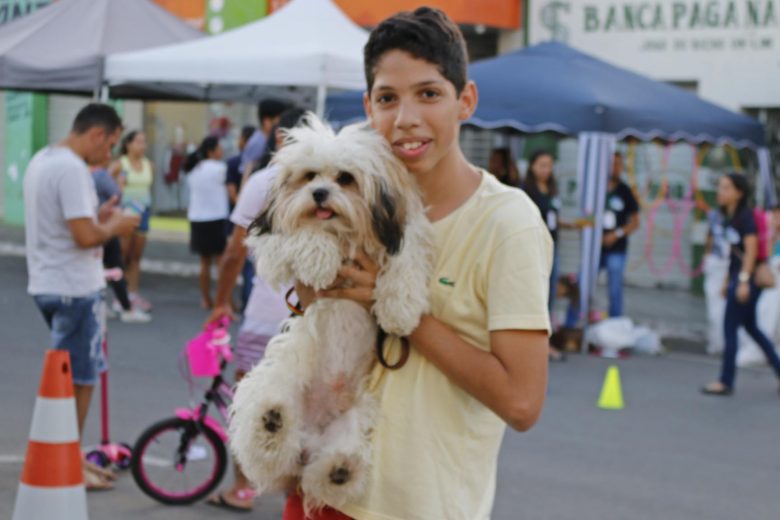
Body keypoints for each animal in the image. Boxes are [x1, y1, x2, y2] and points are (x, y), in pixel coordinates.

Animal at [229, 114, 436, 512]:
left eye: (345, 178)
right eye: (310, 176)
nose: (319, 194)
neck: (343, 233)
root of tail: (307, 439)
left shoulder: (402, 233)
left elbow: (404, 261)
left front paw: (399, 309)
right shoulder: (274, 238)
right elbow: (301, 236)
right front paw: (320, 259)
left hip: (356, 419)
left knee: (325, 473)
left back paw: (338, 471)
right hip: (274, 379)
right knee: (265, 449)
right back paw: (271, 423)